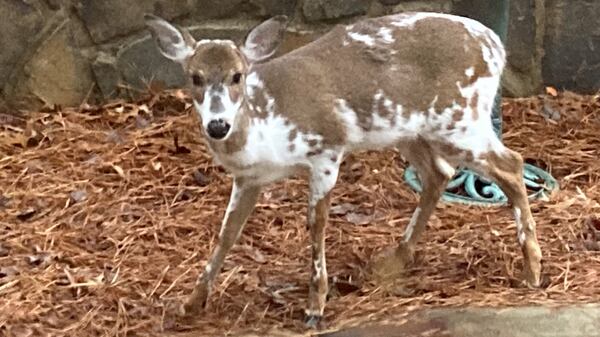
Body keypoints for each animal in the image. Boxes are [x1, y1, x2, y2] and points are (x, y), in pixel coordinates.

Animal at [145, 12, 544, 326]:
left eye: (237, 76)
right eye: (194, 77)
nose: (218, 125)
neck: (263, 130)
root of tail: (495, 45)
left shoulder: (325, 149)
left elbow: (316, 222)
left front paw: (315, 307)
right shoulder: (248, 178)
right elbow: (227, 232)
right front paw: (190, 303)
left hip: (460, 119)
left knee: (510, 164)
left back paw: (532, 271)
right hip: (411, 130)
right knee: (439, 173)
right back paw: (392, 262)